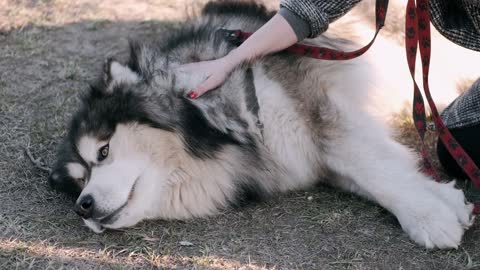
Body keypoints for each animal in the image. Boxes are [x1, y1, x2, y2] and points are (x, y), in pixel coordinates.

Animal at [47, 0, 474, 249]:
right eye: (80, 183)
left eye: (103, 151)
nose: (83, 207)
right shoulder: (308, 159)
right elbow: (376, 172)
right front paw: (442, 200)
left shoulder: (320, 115)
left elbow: (373, 168)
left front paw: (429, 217)